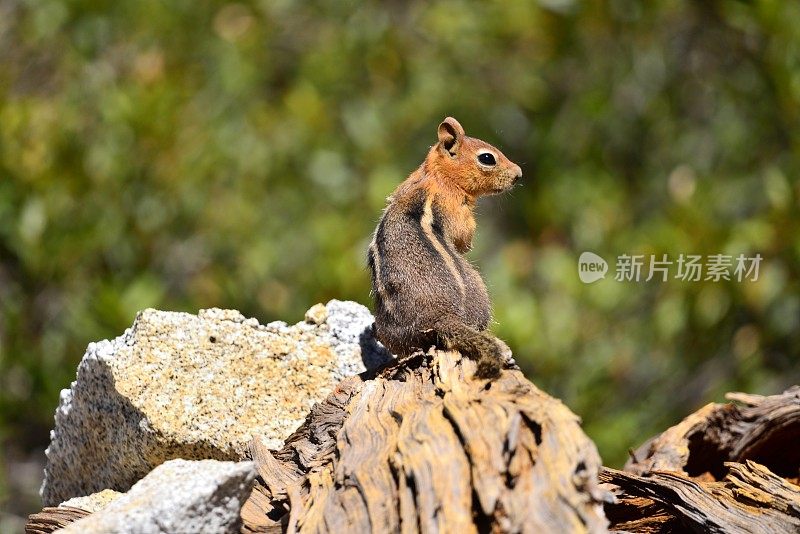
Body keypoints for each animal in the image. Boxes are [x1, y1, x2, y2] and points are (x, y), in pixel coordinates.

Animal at [370, 117, 524, 378]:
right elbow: (463, 239)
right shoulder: (458, 211)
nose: (519, 174)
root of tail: (443, 316)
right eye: (487, 158)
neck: (437, 176)